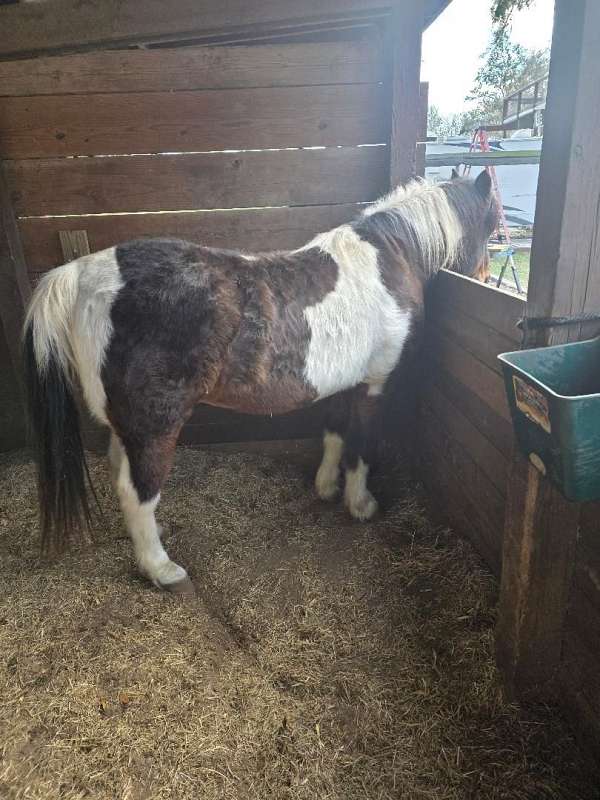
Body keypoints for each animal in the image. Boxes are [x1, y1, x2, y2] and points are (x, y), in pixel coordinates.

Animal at [22, 170, 498, 596]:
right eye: (492, 229)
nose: (485, 278)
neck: (388, 260)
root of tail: (81, 272)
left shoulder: (339, 383)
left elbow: (333, 434)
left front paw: (325, 487)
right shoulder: (373, 384)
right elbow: (360, 446)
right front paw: (360, 504)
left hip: (130, 426)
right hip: (155, 426)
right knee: (136, 492)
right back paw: (162, 569)